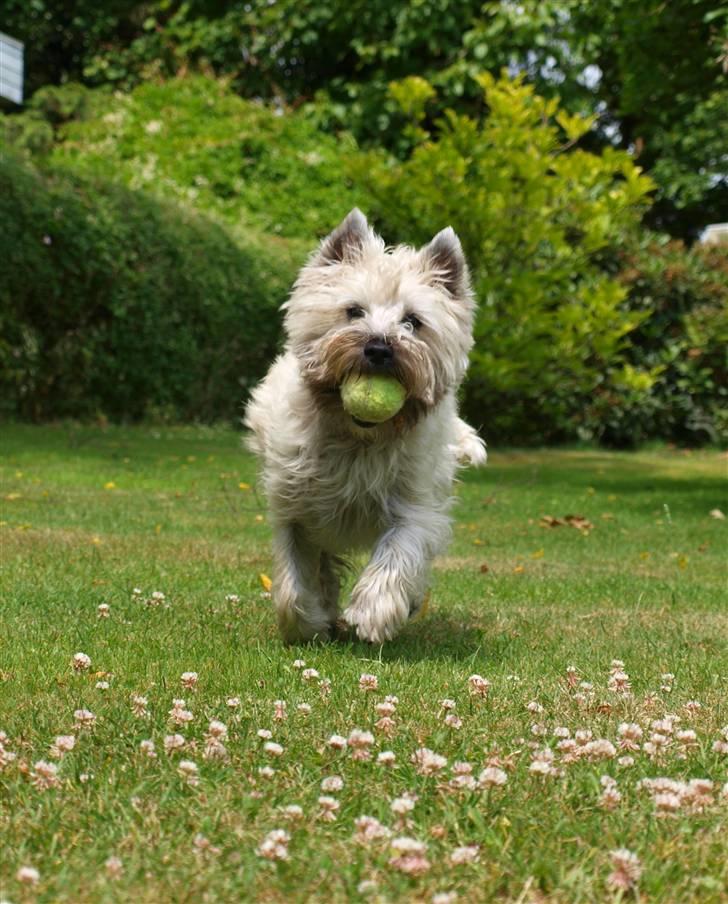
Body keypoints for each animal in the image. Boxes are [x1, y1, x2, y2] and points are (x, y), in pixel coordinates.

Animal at [246, 207, 490, 644]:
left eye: (413, 321)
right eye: (353, 311)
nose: (378, 347)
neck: (358, 437)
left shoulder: (414, 505)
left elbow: (398, 552)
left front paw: (372, 613)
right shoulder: (293, 506)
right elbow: (293, 582)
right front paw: (307, 622)